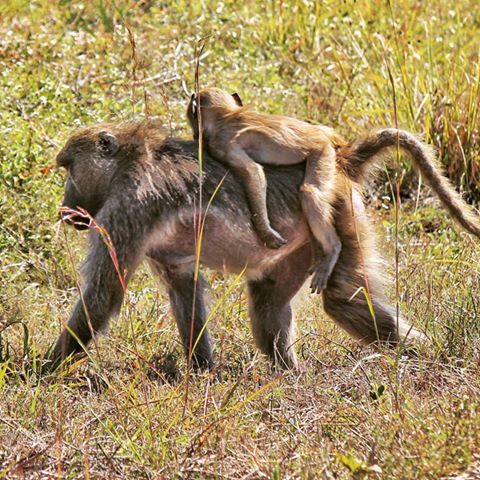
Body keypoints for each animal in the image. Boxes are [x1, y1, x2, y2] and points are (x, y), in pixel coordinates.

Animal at [49, 119, 480, 372]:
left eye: (68, 167)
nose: (64, 207)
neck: (131, 162)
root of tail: (341, 164)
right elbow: (185, 289)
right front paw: (202, 371)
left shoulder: (128, 209)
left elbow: (103, 295)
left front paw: (43, 371)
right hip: (302, 245)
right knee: (269, 306)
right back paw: (290, 375)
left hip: (337, 216)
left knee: (342, 298)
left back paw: (428, 355)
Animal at [187, 88, 347, 293]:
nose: (194, 135)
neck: (226, 116)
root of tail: (324, 135)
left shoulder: (221, 145)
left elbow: (253, 172)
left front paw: (266, 231)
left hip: (323, 153)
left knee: (309, 192)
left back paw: (333, 248)